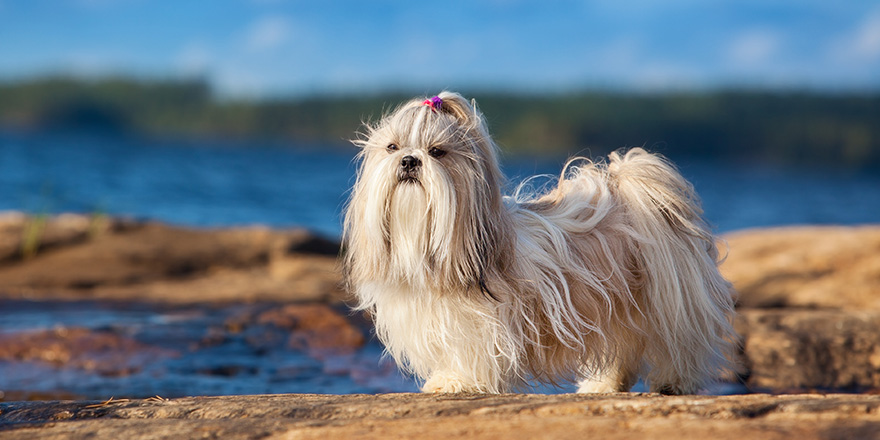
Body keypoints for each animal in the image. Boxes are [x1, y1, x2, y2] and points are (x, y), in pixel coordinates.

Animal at [342, 91, 736, 394]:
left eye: (437, 151)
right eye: (392, 147)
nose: (409, 160)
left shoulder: (483, 325)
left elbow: (472, 354)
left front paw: (457, 382)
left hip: (670, 300)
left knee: (681, 343)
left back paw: (675, 382)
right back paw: (603, 385)